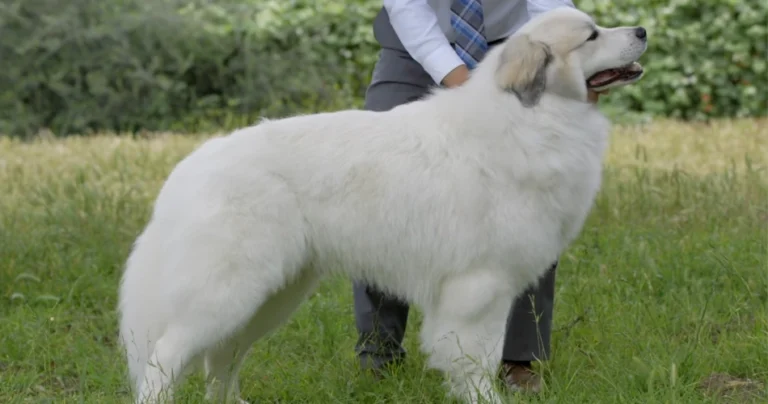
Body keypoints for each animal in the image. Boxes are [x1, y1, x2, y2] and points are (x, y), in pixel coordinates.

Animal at [118, 7, 648, 404]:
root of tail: (191, 166)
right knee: (166, 357)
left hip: (271, 296)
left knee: (222, 359)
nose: (643, 31)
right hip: (227, 292)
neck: (531, 118)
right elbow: (475, 358)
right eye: (591, 35)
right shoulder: (479, 288)